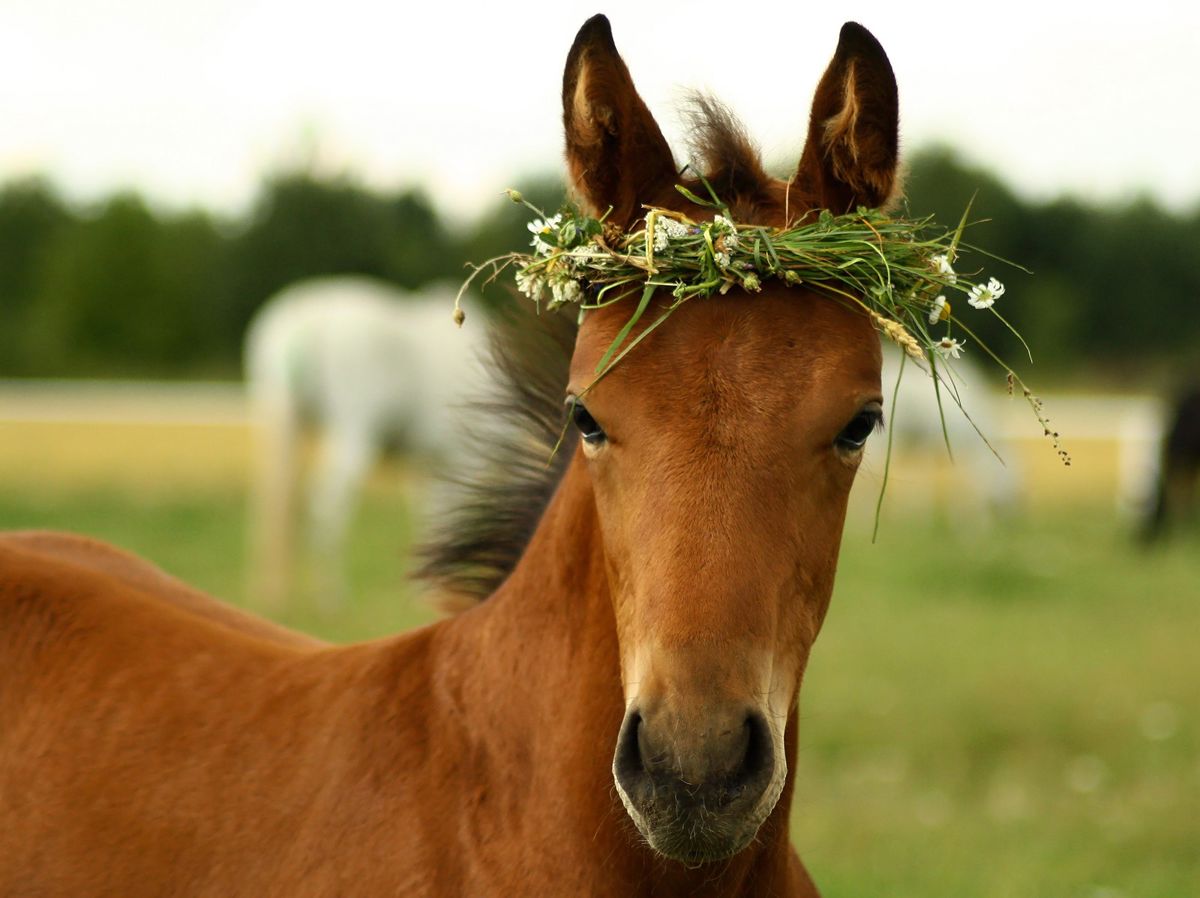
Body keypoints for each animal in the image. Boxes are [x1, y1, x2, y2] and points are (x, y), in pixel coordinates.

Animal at [243, 274, 487, 609]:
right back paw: (330, 592)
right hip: (352, 434)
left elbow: (429, 514)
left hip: (284, 420)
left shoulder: (425, 464)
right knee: (327, 505)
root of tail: (304, 314)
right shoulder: (456, 458)